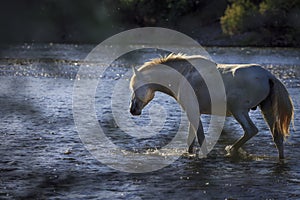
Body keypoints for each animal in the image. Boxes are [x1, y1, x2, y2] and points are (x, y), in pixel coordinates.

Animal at [128, 53, 292, 159]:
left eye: (135, 87)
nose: (132, 110)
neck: (183, 76)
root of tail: (269, 76)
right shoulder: (194, 112)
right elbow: (191, 139)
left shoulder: (193, 112)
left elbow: (200, 137)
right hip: (267, 110)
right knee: (277, 138)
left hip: (239, 111)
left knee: (251, 130)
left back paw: (231, 149)